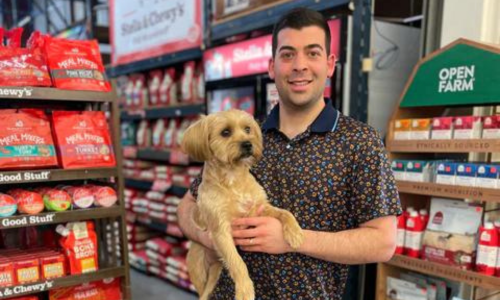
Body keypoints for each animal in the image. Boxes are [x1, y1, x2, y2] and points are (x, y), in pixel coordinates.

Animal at [181, 109, 302, 300]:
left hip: (215, 272)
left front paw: (295, 233)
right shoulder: (221, 232)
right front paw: (245, 290)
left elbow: (285, 212)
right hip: (199, 271)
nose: (248, 144)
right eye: (225, 132)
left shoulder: (260, 207)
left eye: (247, 129)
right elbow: (237, 263)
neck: (233, 179)